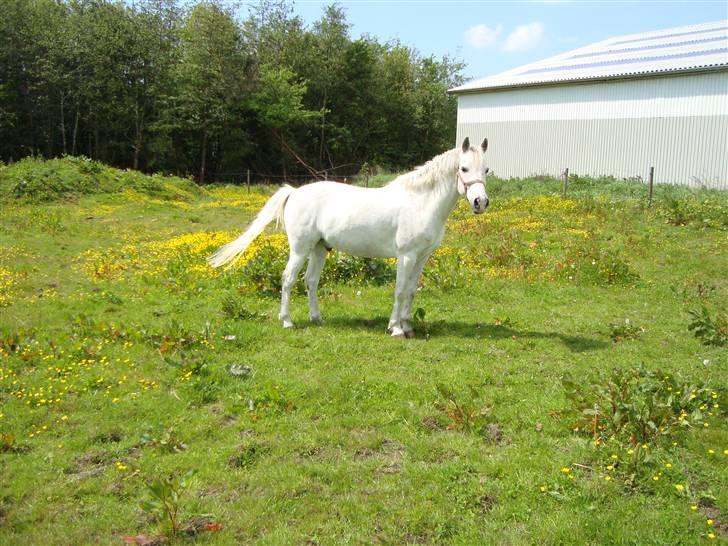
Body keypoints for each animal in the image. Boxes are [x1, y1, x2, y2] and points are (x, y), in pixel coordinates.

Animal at [208, 136, 490, 334]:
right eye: (464, 168)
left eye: (486, 170)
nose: (480, 202)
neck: (420, 202)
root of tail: (295, 191)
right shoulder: (407, 256)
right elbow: (400, 290)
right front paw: (396, 328)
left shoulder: (422, 257)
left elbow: (411, 290)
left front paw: (408, 326)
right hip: (300, 249)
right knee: (288, 279)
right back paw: (287, 322)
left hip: (319, 248)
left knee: (310, 281)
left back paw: (317, 318)